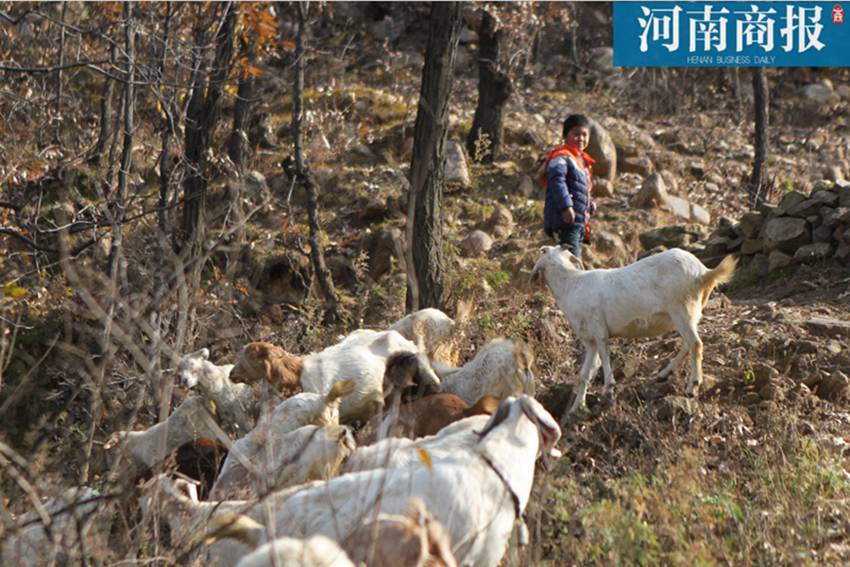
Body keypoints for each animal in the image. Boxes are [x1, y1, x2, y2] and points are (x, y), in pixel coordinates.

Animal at [528, 246, 736, 414]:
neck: (571, 285)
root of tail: (704, 273)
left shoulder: (598, 329)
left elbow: (604, 356)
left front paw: (609, 388)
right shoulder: (589, 340)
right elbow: (585, 374)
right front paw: (577, 407)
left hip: (683, 309)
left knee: (696, 344)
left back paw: (692, 386)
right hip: (691, 313)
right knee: (688, 344)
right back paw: (664, 374)